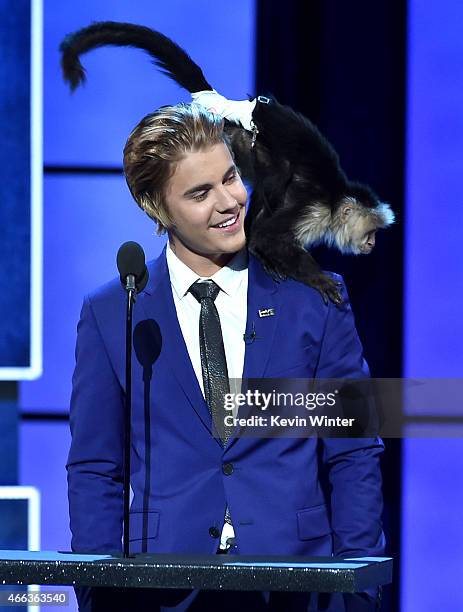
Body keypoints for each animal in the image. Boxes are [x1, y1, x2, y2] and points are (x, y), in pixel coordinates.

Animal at [59, 21, 396, 304]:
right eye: (371, 231)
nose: (373, 244)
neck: (335, 199)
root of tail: (230, 106)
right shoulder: (315, 210)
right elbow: (271, 236)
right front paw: (315, 277)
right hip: (243, 139)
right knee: (277, 176)